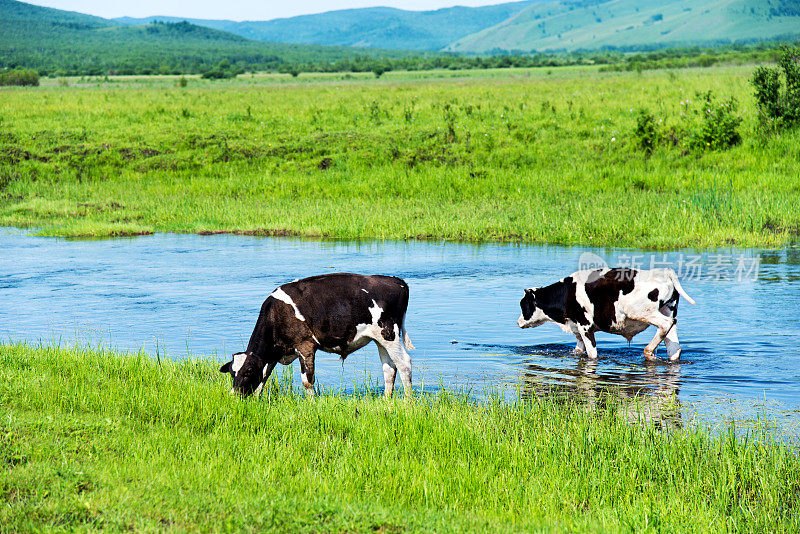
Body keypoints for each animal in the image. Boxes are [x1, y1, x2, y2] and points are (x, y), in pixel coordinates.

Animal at [222, 276, 416, 398]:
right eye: (232, 373)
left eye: (247, 372)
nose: (234, 396)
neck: (277, 313)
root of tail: (396, 281)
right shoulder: (272, 354)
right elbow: (264, 377)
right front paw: (257, 399)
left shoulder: (305, 346)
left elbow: (307, 380)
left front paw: (312, 403)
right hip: (380, 340)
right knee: (389, 368)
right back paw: (387, 401)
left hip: (389, 334)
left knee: (404, 364)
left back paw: (407, 403)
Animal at [520, 270, 692, 362]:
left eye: (522, 305)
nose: (518, 322)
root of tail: (665, 272)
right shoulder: (577, 328)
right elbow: (579, 349)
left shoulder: (585, 326)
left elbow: (592, 354)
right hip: (668, 309)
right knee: (674, 348)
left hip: (643, 312)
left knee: (665, 324)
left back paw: (648, 352)